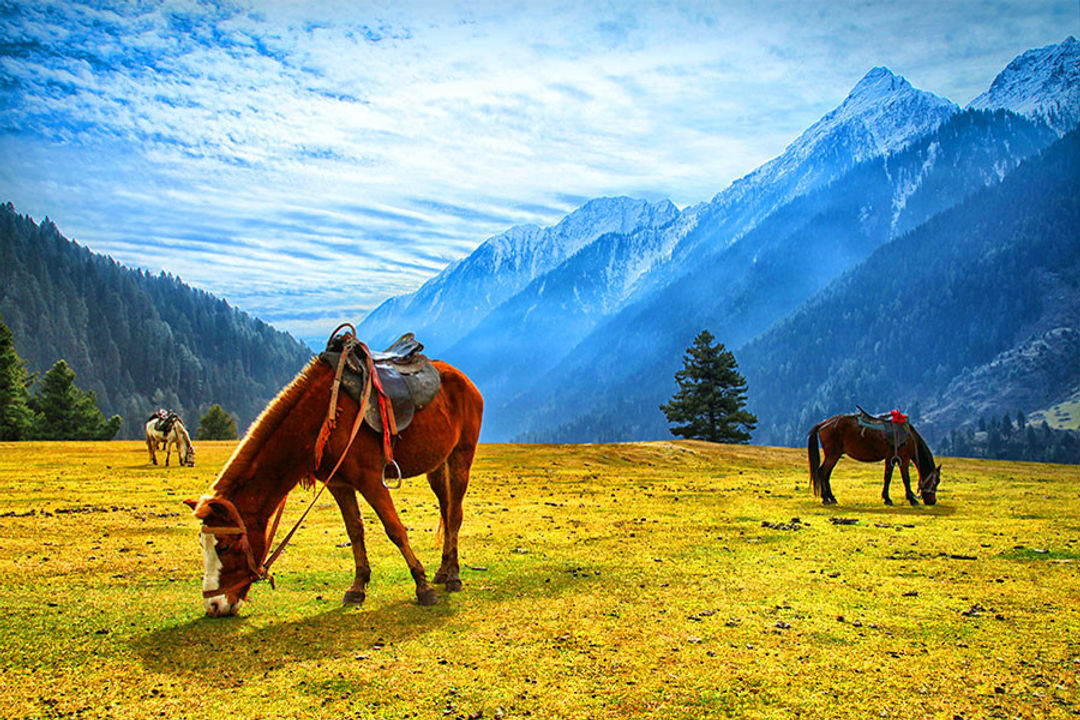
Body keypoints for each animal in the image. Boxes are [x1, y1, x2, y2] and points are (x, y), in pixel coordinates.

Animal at [184, 345, 481, 617]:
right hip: (437, 465)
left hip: (461, 456)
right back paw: (443, 571)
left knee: (455, 515)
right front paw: (358, 586)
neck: (319, 418)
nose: (214, 606)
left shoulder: (371, 480)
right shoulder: (339, 484)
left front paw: (422, 586)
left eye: (225, 545)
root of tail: (465, 380)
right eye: (202, 544)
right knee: (447, 511)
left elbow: (394, 529)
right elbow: (354, 530)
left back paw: (453, 577)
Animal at [807, 414, 941, 509]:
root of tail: (823, 424)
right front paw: (912, 500)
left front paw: (887, 498)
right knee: (822, 472)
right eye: (936, 481)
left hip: (834, 455)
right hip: (833, 455)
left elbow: (887, 477)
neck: (909, 437)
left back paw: (832, 498)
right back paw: (825, 498)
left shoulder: (891, 458)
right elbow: (905, 479)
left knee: (826, 474)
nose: (932, 501)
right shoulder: (904, 458)